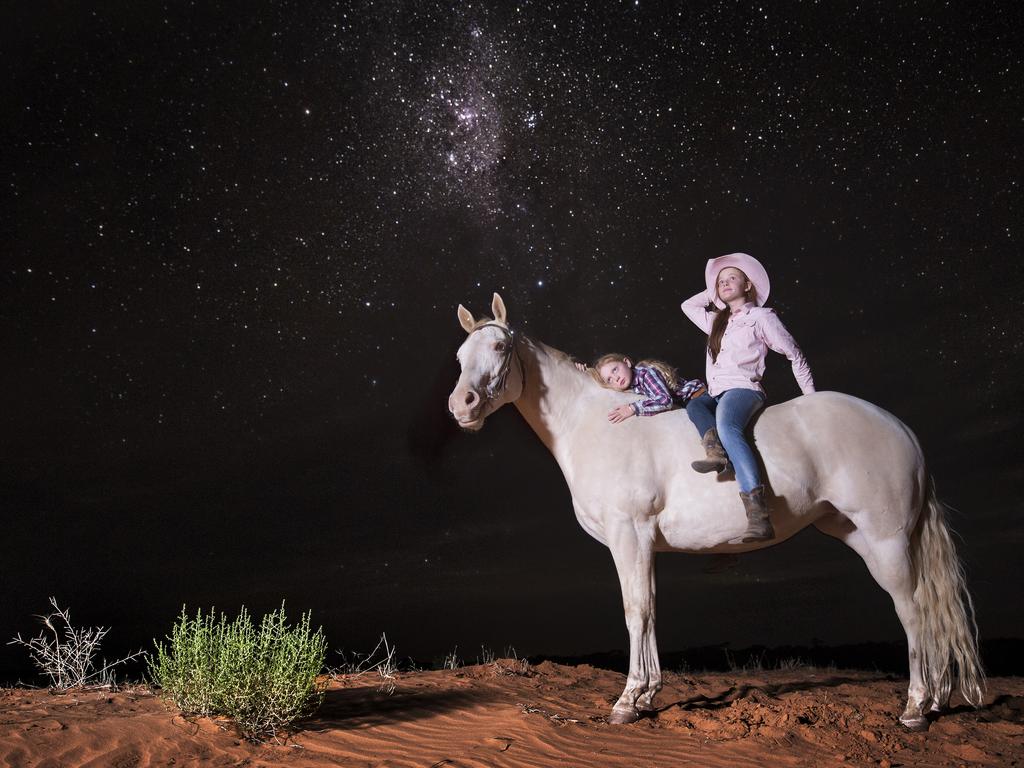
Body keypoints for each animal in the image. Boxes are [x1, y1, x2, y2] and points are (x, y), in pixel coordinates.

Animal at [446, 290, 983, 729]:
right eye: (459, 356)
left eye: (499, 349)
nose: (461, 405)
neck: (597, 425)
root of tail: (899, 428)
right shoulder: (645, 545)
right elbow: (651, 609)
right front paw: (647, 696)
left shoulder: (628, 536)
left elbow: (635, 611)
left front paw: (626, 702)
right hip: (859, 535)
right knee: (926, 609)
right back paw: (935, 700)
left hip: (885, 541)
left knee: (913, 611)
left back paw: (915, 708)